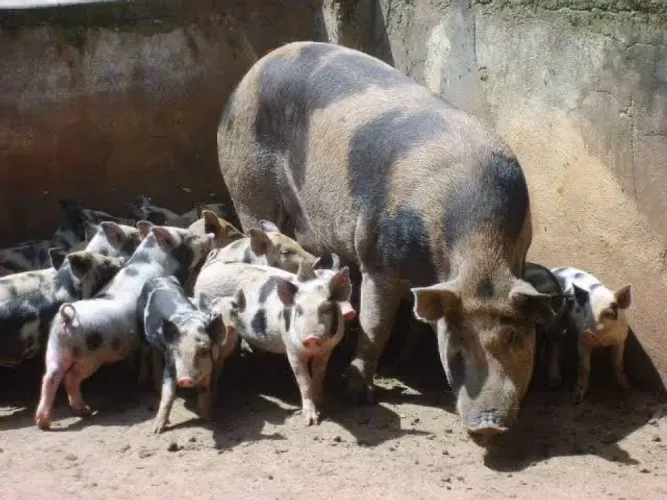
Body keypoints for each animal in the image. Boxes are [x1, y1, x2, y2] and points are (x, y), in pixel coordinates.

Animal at [34, 223, 214, 430]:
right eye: (189, 237)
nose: (210, 235)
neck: (152, 259)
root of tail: (68, 318)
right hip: (90, 358)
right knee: (70, 376)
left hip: (55, 347)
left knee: (50, 376)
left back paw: (50, 420)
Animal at [139, 275, 238, 433]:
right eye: (178, 352)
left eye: (203, 351)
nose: (185, 379)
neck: (191, 327)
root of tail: (158, 277)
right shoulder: (171, 362)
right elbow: (168, 395)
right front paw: (156, 430)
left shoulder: (208, 368)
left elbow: (204, 392)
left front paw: (208, 419)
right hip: (140, 329)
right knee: (144, 350)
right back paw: (142, 382)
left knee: (155, 355)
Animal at [194, 260, 356, 425]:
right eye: (299, 310)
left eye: (326, 309)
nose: (311, 338)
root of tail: (208, 269)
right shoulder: (292, 350)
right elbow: (304, 382)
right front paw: (310, 420)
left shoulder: (327, 350)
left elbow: (319, 375)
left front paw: (321, 408)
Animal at [215, 41, 557, 439]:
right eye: (456, 346)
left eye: (516, 339)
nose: (488, 425)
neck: (476, 249)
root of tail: (248, 76)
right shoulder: (376, 256)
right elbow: (375, 324)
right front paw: (357, 395)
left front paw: (405, 359)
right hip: (246, 183)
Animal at [550, 267, 633, 403]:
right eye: (585, 312)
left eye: (608, 313)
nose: (588, 332)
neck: (603, 339)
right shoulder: (581, 341)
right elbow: (584, 367)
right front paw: (576, 399)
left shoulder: (620, 340)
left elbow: (618, 362)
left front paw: (625, 387)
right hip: (554, 321)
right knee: (553, 347)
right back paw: (555, 383)